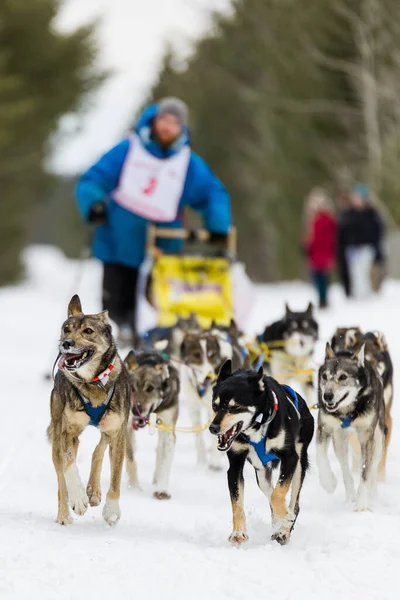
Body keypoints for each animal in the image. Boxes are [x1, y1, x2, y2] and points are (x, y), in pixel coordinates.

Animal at [47, 296, 130, 524]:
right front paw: (78, 498)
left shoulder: (117, 432)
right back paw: (64, 514)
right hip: (57, 435)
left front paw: (111, 509)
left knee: (98, 450)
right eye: (66, 329)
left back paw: (93, 490)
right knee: (61, 480)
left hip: (109, 428)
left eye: (88, 331)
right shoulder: (67, 432)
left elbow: (116, 476)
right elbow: (69, 466)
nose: (66, 343)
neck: (92, 382)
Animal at [123, 350, 180, 500]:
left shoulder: (168, 430)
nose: (135, 410)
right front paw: (134, 488)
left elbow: (165, 461)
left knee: (159, 450)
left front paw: (162, 489)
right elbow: (131, 459)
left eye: (150, 388)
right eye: (132, 388)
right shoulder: (126, 427)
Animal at [208, 358, 314, 548]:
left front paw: (285, 521)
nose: (213, 428)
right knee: (270, 493)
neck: (257, 426)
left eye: (235, 407)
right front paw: (238, 533)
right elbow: (238, 503)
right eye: (215, 405)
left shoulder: (290, 458)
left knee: (293, 503)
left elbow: (278, 495)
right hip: (262, 472)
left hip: (299, 464)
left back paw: (283, 530)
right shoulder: (235, 465)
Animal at [318, 342, 386, 510]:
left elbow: (366, 472)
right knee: (344, 466)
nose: (327, 396)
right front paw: (328, 482)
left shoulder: (367, 436)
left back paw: (372, 495)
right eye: (324, 376)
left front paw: (362, 504)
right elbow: (320, 455)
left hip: (378, 439)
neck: (347, 411)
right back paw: (349, 494)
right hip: (339, 439)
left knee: (373, 466)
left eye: (343, 377)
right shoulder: (325, 427)